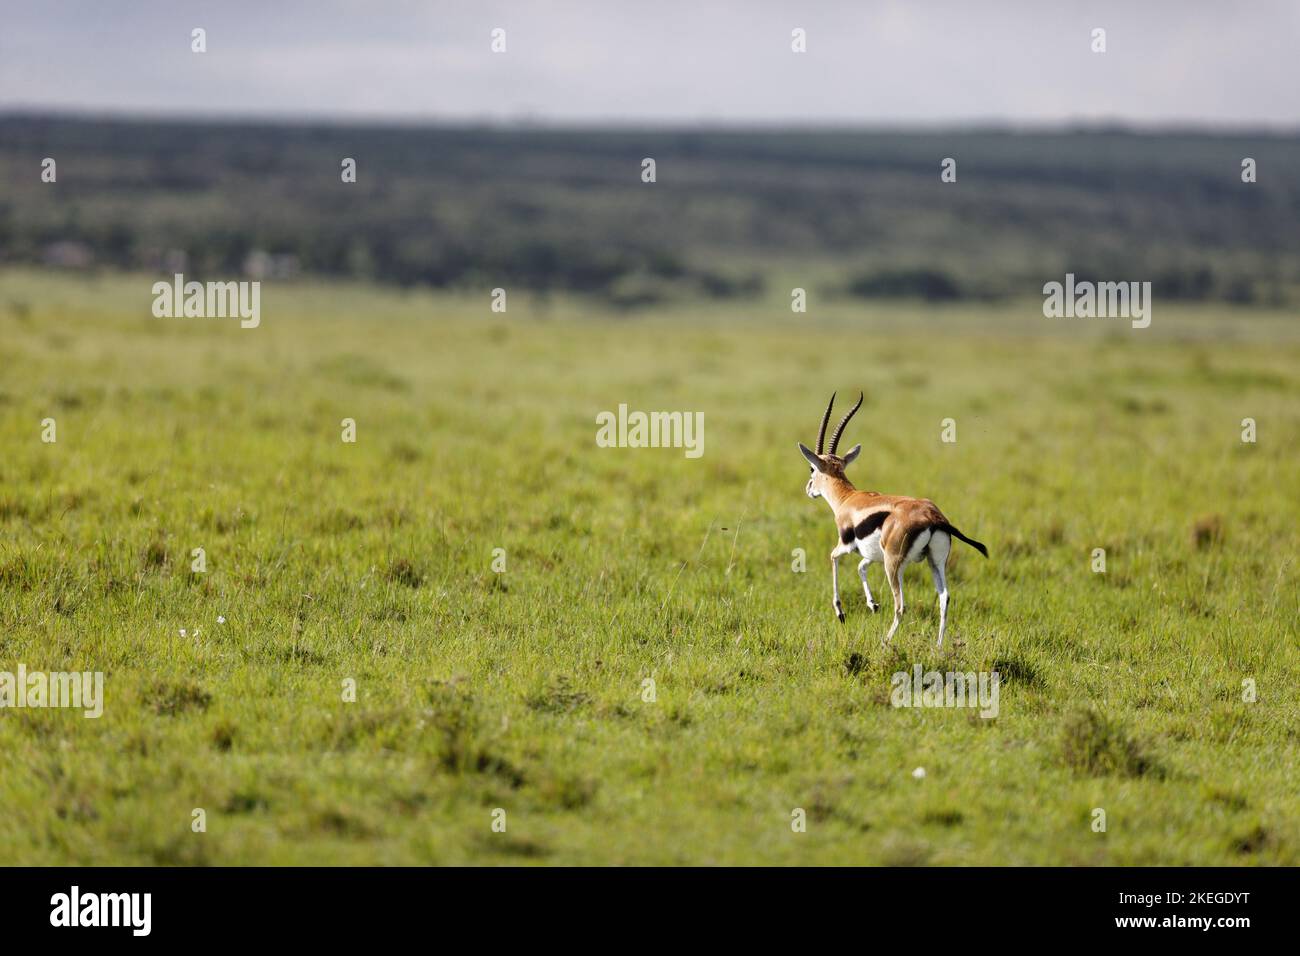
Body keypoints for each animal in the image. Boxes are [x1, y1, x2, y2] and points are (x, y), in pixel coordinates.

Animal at [798, 393, 988, 646]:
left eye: (812, 468)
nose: (809, 489)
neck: (848, 498)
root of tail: (934, 517)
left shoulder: (846, 545)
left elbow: (833, 558)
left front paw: (840, 612)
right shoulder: (872, 555)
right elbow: (861, 567)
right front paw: (873, 605)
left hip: (894, 564)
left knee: (901, 606)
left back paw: (885, 642)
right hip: (934, 561)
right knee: (944, 598)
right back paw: (938, 646)